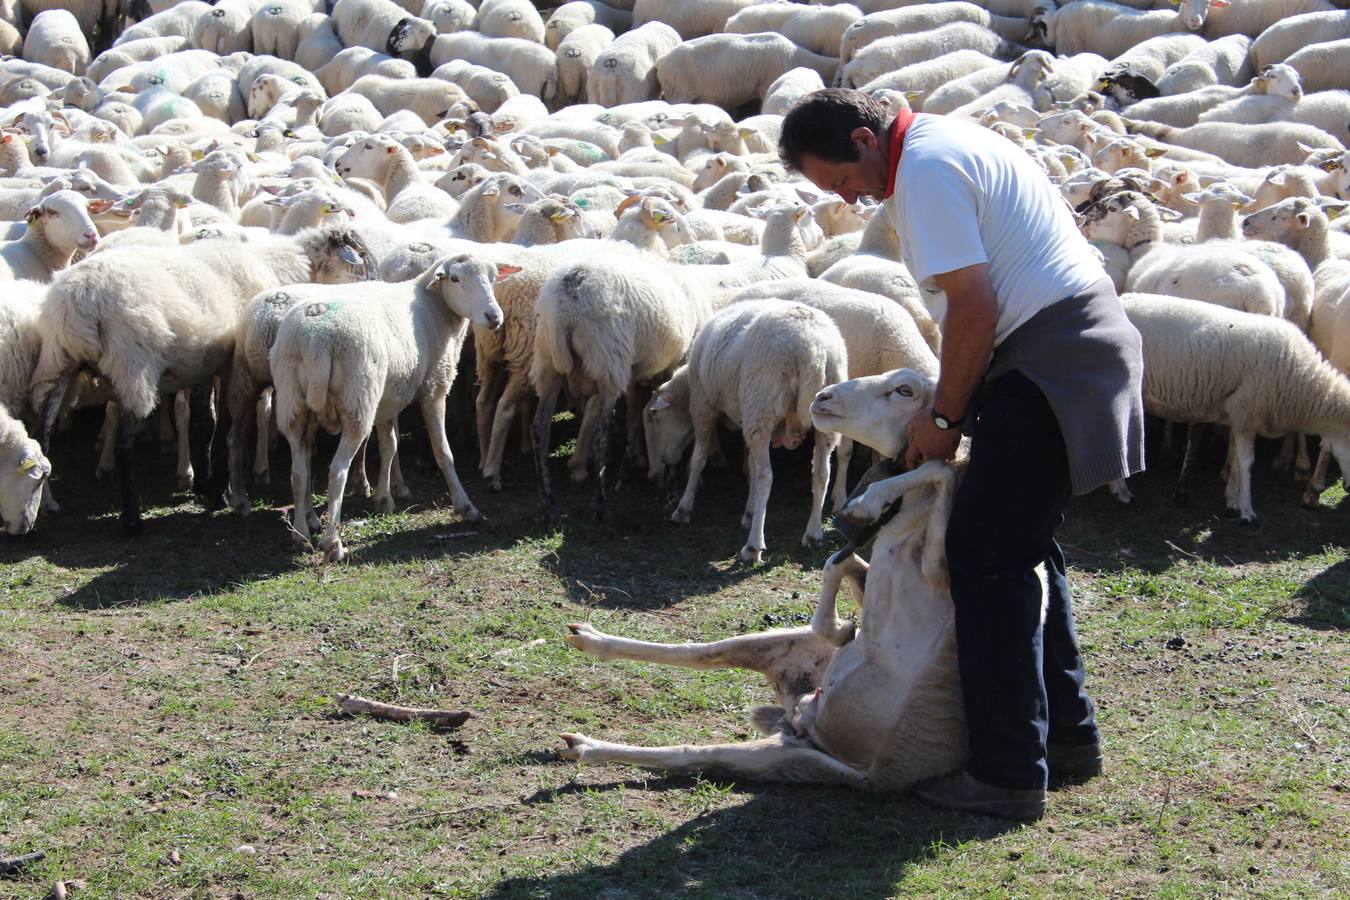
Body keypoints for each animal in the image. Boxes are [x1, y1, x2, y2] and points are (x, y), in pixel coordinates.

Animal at [31, 226, 378, 534]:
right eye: (359, 260)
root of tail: (80, 297)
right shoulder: (230, 366)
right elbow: (225, 426)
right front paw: (220, 489)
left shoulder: (203, 364)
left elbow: (206, 421)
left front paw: (203, 482)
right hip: (132, 367)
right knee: (124, 445)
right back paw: (131, 519)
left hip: (58, 363)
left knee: (42, 438)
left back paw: (44, 505)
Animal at [558, 369, 972, 793]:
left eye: (906, 390)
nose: (823, 398)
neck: (910, 520)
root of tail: (796, 712)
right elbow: (834, 562)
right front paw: (840, 626)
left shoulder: (938, 568)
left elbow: (939, 470)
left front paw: (867, 503)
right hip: (783, 647)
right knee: (706, 651)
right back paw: (591, 640)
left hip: (804, 761)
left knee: (697, 755)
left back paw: (586, 745)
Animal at [642, 299, 842, 564]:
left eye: (652, 418)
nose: (652, 475)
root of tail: (814, 350)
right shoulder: (745, 416)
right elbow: (750, 465)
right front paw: (749, 511)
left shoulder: (703, 406)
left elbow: (698, 460)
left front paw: (683, 508)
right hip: (822, 420)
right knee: (821, 474)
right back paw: (813, 535)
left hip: (761, 406)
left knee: (767, 477)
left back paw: (753, 546)